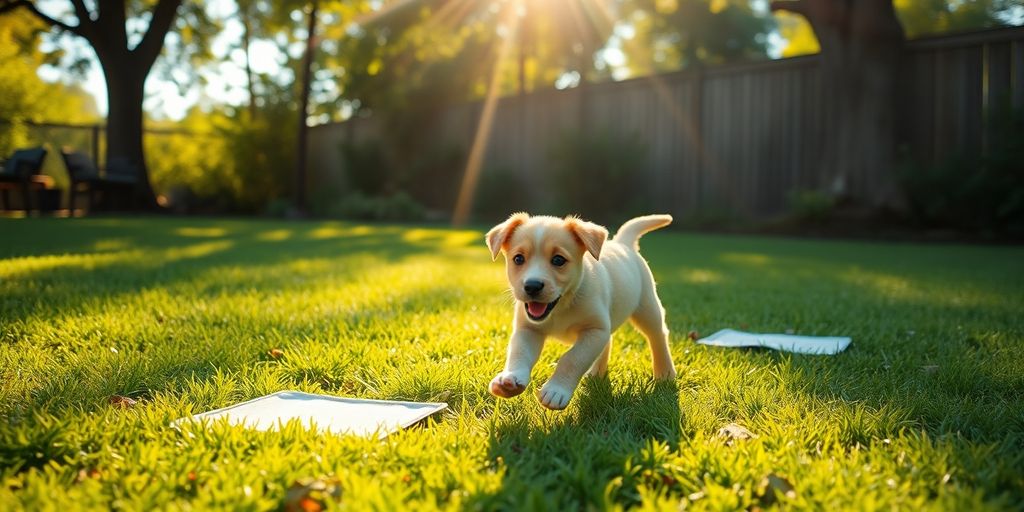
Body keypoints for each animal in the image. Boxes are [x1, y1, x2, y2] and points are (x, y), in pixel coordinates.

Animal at [483, 209, 675, 409]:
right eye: (518, 259)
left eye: (558, 260)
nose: (532, 286)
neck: (561, 307)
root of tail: (623, 243)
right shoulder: (528, 329)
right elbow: (519, 352)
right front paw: (511, 378)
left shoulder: (594, 331)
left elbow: (572, 358)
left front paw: (556, 390)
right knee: (608, 342)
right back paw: (596, 373)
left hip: (647, 307)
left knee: (658, 336)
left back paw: (665, 373)